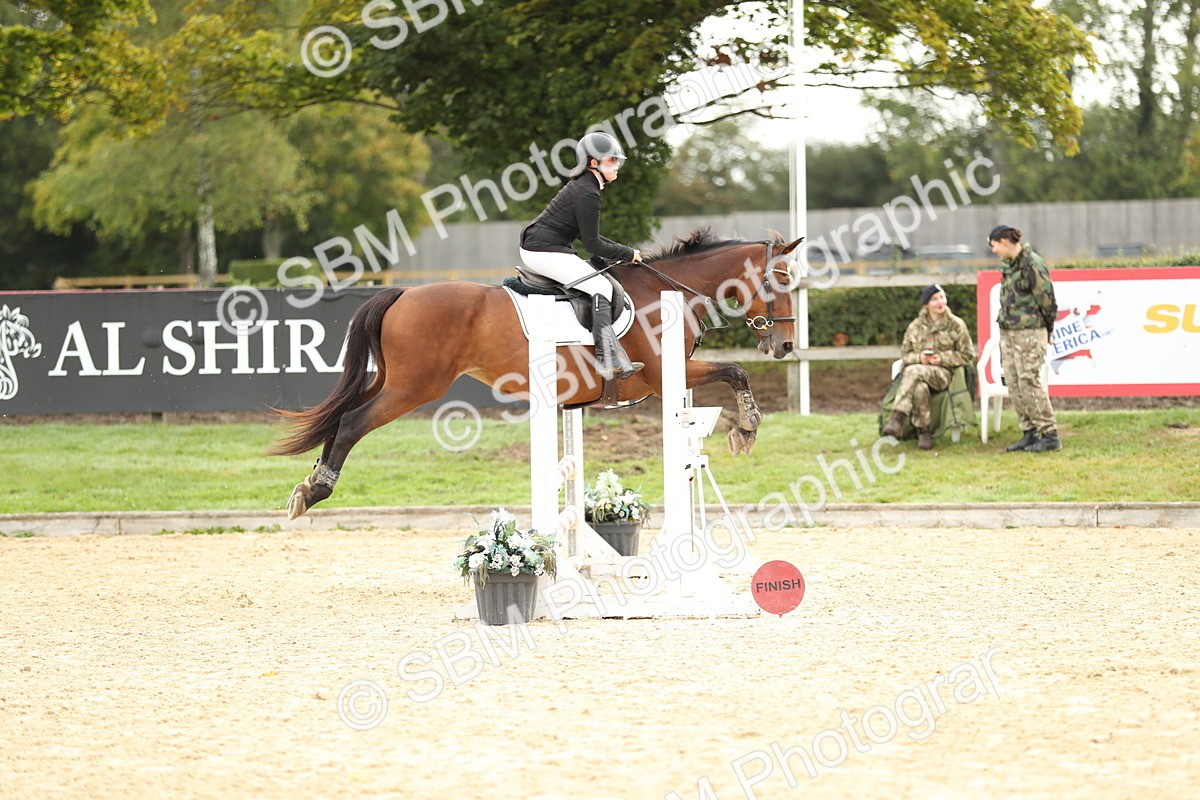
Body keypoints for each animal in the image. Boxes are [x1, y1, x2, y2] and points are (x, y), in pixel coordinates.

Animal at [271, 227, 803, 519]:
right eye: (780, 281)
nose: (785, 345)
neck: (667, 291)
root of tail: (403, 293)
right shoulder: (665, 374)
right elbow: (736, 371)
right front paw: (747, 430)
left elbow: (731, 377)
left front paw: (741, 429)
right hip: (413, 387)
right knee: (352, 422)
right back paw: (316, 490)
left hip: (391, 380)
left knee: (341, 417)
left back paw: (308, 484)